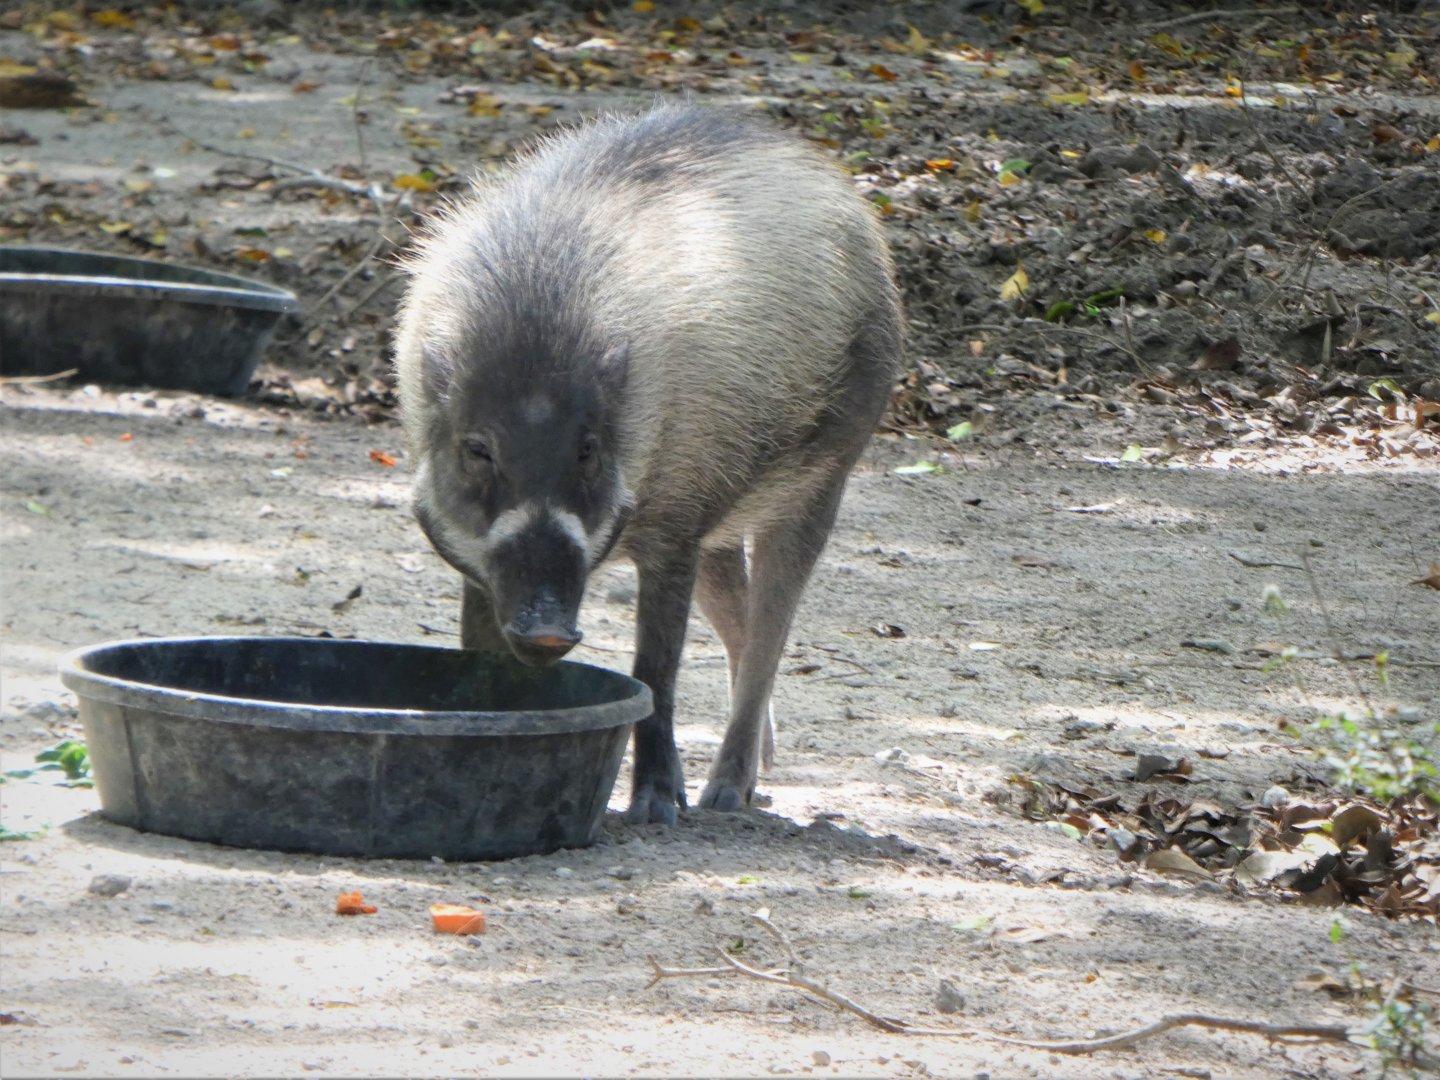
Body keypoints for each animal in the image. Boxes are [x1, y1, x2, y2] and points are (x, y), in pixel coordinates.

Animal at [394, 104, 902, 824]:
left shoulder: (676, 526)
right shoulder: (485, 559)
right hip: (722, 530)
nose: (547, 629)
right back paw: (759, 777)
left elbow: (655, 667)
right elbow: (477, 648)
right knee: (739, 617)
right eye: (478, 448)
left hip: (825, 474)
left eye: (587, 448)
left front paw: (657, 810)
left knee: (770, 632)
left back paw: (726, 798)